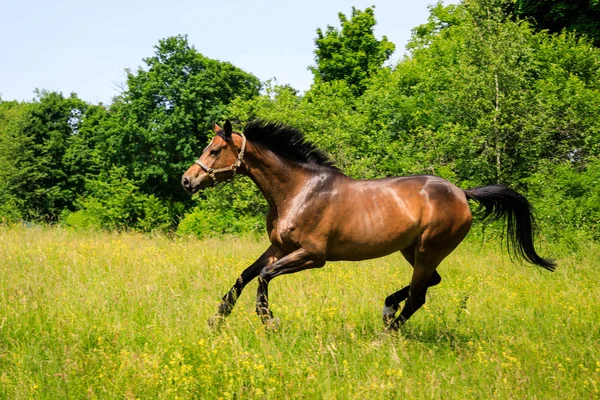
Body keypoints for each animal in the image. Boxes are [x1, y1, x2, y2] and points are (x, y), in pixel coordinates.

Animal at [180, 120, 556, 330]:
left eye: (215, 151)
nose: (186, 180)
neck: (297, 190)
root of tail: (462, 193)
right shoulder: (279, 247)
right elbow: (244, 276)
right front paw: (217, 320)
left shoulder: (312, 255)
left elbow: (263, 277)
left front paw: (269, 321)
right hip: (413, 250)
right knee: (428, 284)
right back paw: (388, 308)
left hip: (427, 249)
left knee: (419, 296)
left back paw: (384, 333)